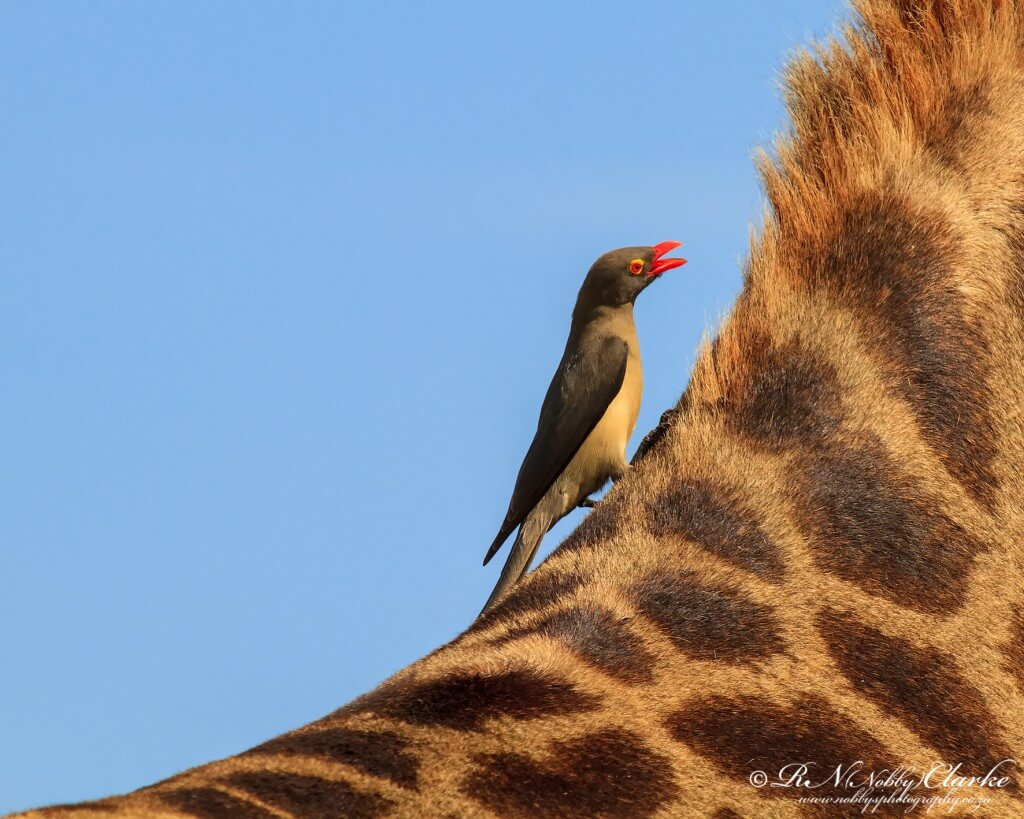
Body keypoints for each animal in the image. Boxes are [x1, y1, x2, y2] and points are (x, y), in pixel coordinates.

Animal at [16, 0, 1024, 815]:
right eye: (637, 265)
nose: (668, 248)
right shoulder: (596, 421)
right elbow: (614, 455)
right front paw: (663, 425)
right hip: (555, 477)